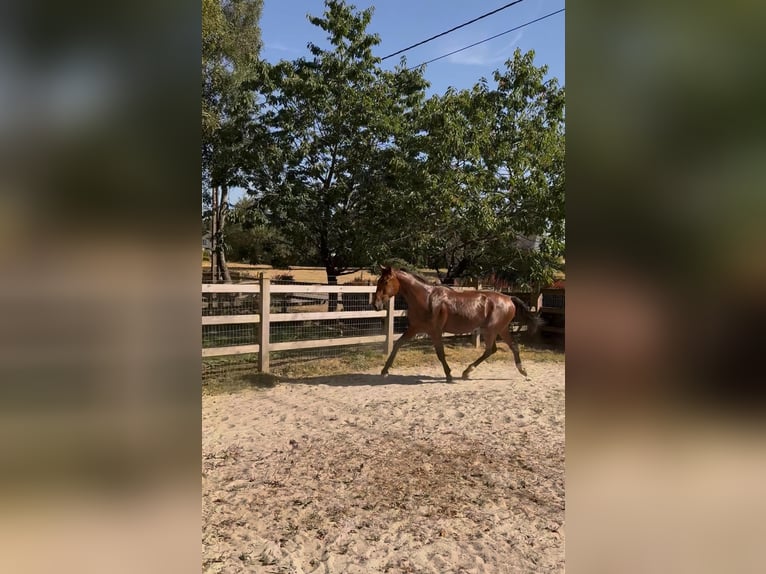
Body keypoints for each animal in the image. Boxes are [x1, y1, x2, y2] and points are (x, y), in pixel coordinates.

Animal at [372, 266, 540, 382]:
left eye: (385, 281)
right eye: (378, 281)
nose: (376, 305)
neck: (426, 299)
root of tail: (509, 298)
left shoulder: (435, 331)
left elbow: (440, 353)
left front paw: (449, 375)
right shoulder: (414, 328)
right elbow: (397, 344)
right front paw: (384, 371)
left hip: (492, 330)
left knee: (491, 350)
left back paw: (467, 372)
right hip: (501, 329)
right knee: (510, 347)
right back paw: (523, 371)